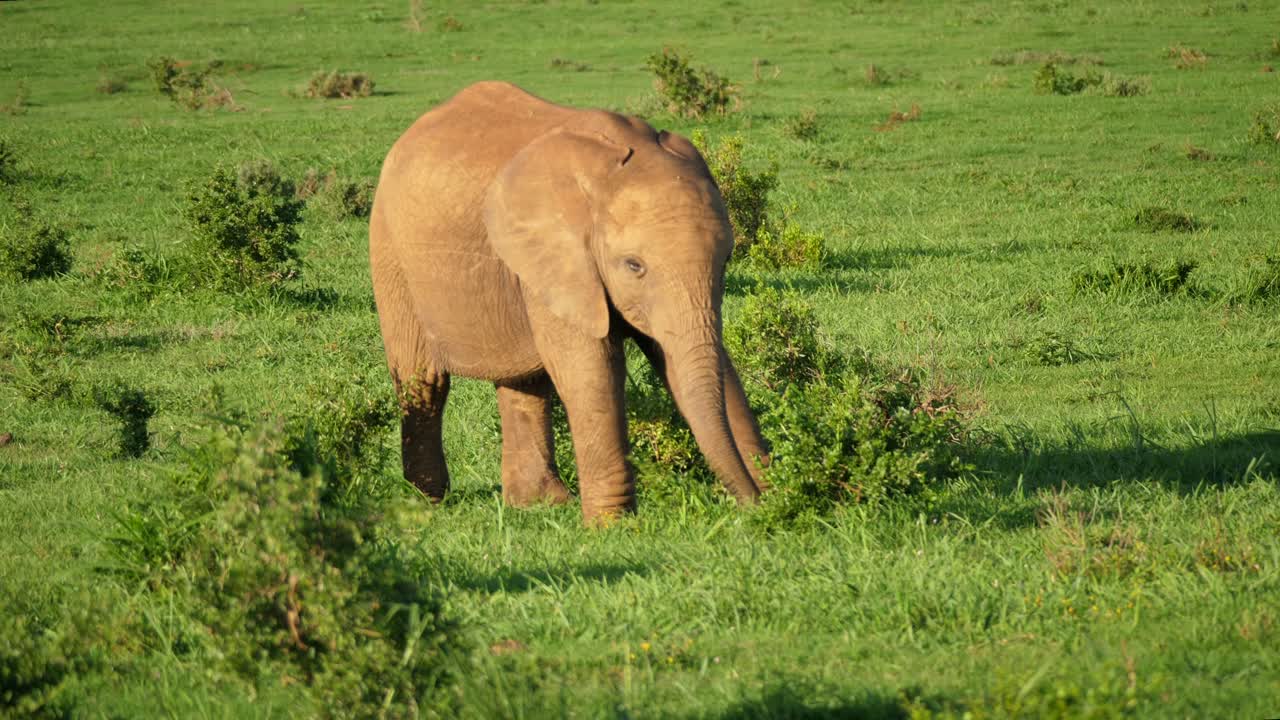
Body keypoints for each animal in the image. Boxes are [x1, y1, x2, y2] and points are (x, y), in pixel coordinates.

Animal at [369, 81, 769, 523]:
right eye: (634, 265)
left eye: (726, 260)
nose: (753, 506)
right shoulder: (560, 259)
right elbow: (589, 369)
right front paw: (611, 527)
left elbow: (694, 360)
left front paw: (775, 488)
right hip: (389, 251)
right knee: (422, 379)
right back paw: (426, 502)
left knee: (525, 383)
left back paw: (539, 503)